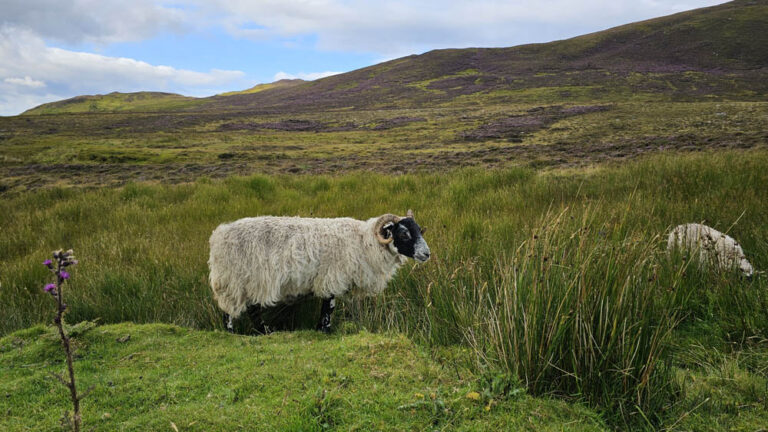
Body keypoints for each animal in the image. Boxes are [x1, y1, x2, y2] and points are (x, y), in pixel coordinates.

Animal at [207, 209, 428, 334]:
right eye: (403, 233)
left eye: (419, 230)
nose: (427, 254)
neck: (364, 242)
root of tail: (218, 236)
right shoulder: (332, 277)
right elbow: (328, 307)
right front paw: (325, 329)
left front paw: (321, 328)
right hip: (238, 281)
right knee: (235, 312)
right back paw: (243, 332)